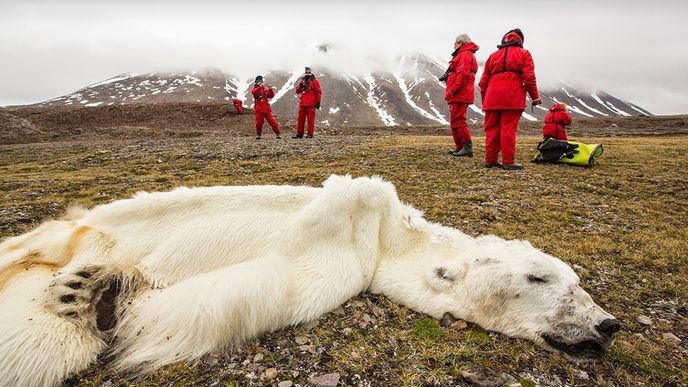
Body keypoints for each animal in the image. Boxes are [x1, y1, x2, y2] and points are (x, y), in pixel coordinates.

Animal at [0, 175, 620, 384]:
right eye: (540, 277)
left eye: (577, 281)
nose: (608, 325)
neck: (388, 237)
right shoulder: (350, 230)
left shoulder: (348, 262)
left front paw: (110, 298)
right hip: (83, 227)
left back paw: (83, 293)